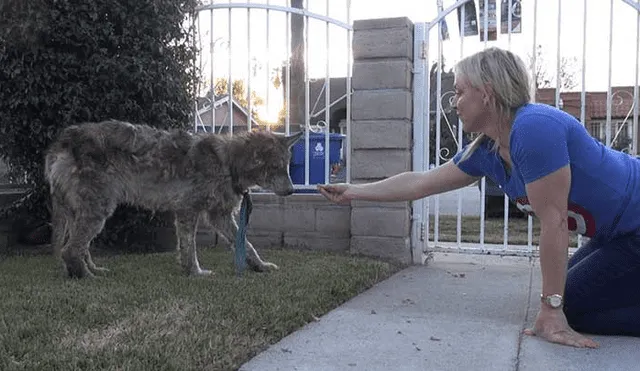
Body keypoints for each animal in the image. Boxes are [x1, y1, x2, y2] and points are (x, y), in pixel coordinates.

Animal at [43, 120, 304, 280]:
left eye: (286, 166)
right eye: (276, 167)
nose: (292, 190)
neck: (228, 163)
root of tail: (63, 140)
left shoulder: (219, 216)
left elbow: (246, 245)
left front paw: (260, 267)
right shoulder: (188, 211)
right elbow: (190, 248)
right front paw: (195, 273)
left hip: (84, 214)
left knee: (80, 249)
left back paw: (92, 269)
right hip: (98, 212)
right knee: (69, 250)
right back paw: (88, 276)